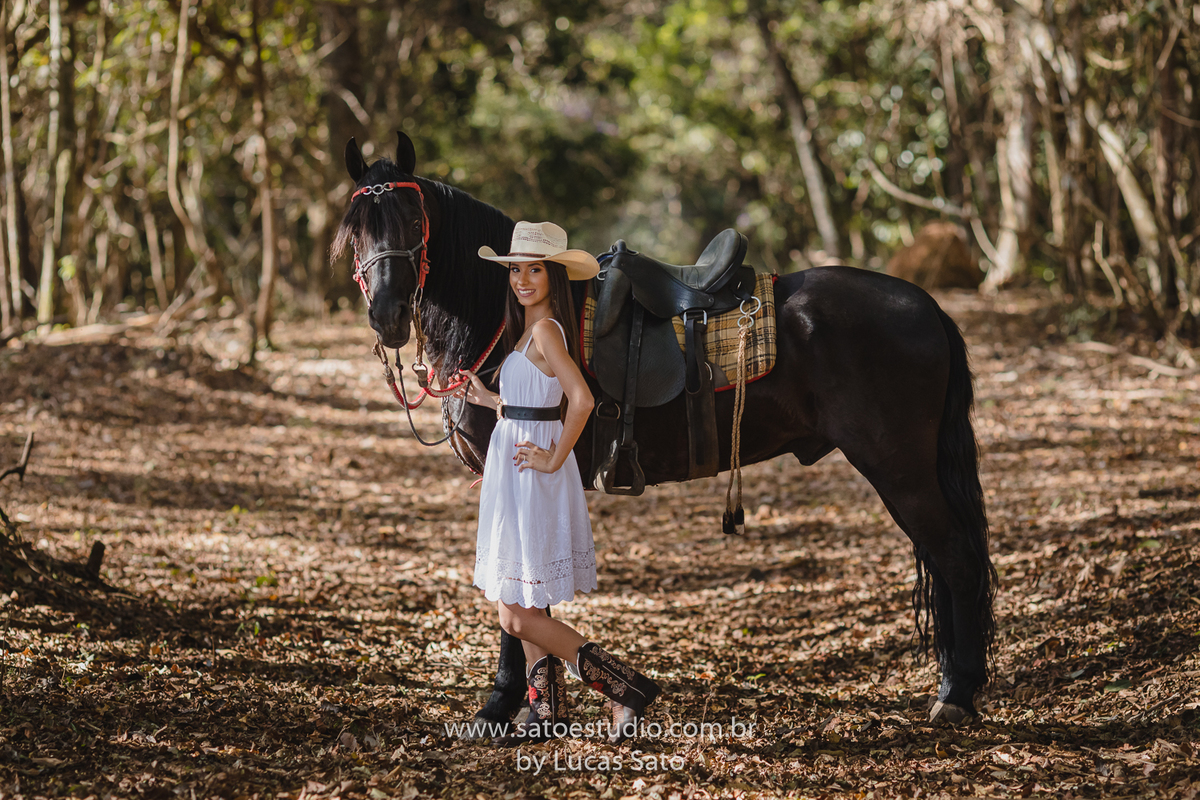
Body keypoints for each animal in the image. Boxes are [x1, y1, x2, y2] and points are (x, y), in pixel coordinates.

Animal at [333, 132, 998, 731]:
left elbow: (517, 592)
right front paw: (533, 704)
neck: (501, 321)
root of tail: (927, 306)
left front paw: (502, 703)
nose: (387, 315)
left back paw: (956, 695)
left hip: (900, 466)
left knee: (957, 559)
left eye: (413, 219)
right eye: (357, 225)